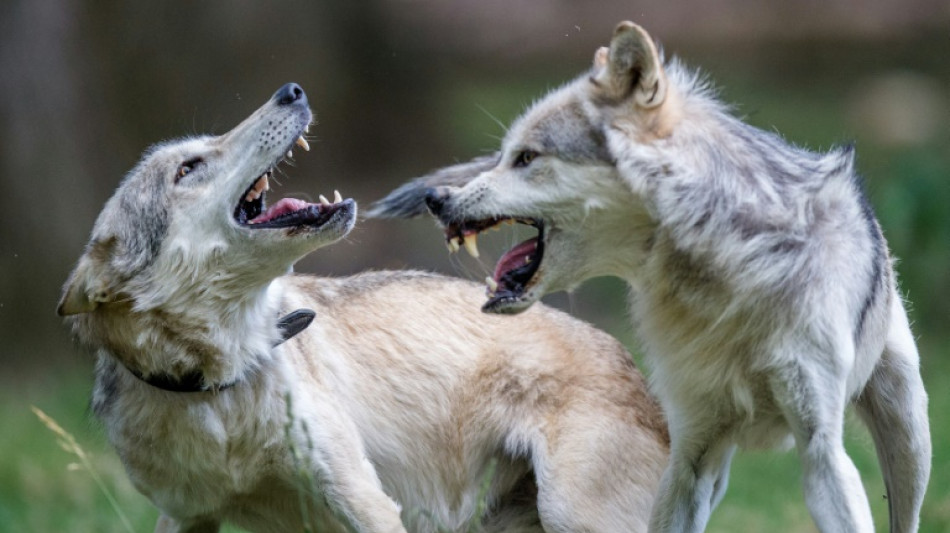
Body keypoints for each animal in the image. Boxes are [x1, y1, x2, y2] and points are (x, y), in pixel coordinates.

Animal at [57, 82, 669, 533]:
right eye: (187, 168)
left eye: (201, 151)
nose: (292, 90)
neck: (223, 384)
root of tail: (631, 364)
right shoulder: (186, 517)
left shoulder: (366, 502)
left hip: (572, 515)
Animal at [369, 22, 931, 532]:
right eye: (507, 155)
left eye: (526, 158)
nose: (436, 198)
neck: (722, 279)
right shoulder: (691, 454)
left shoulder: (821, 452)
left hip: (911, 440)